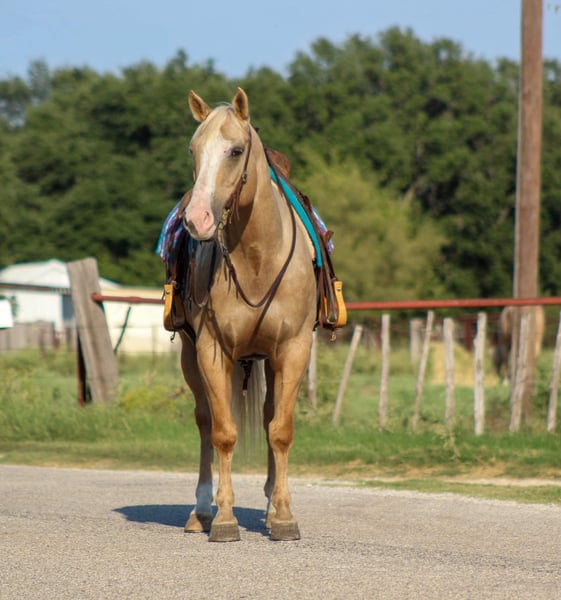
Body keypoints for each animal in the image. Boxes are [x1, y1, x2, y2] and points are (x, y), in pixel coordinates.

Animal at [176, 88, 318, 542]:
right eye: (194, 150)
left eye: (236, 150)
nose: (197, 219)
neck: (257, 258)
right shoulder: (211, 350)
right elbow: (223, 434)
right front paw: (223, 518)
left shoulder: (293, 349)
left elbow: (280, 431)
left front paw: (284, 516)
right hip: (189, 356)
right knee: (204, 422)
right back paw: (202, 510)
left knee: (271, 416)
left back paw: (271, 506)